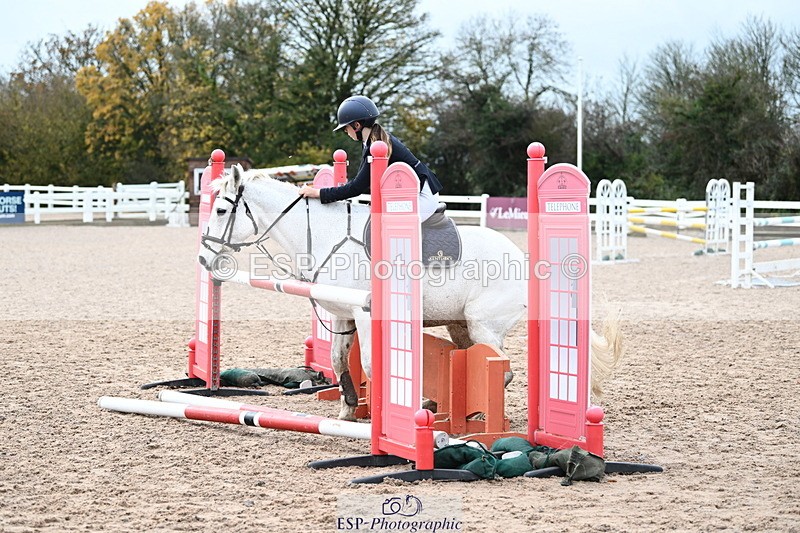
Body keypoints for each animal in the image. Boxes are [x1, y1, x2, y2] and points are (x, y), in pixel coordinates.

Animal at [198, 164, 622, 420]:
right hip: (459, 326)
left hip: (483, 324)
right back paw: (444, 406)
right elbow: (338, 361)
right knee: (477, 362)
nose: (203, 258)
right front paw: (348, 412)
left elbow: (371, 364)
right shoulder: (342, 315)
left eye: (220, 210)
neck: (326, 235)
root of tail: (525, 259)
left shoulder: (366, 313)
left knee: (500, 368)